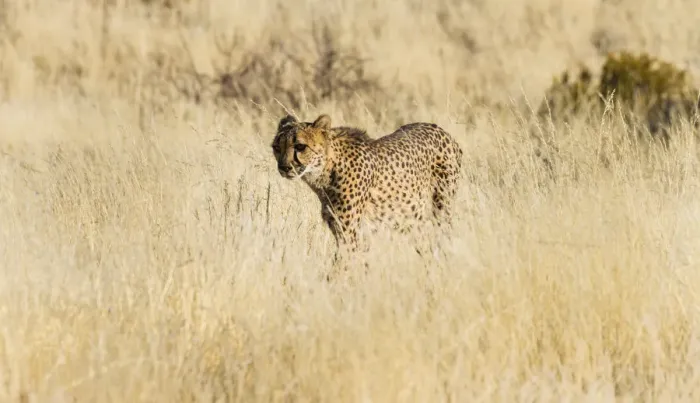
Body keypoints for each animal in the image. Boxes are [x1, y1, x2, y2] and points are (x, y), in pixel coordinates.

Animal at [271, 113, 463, 259]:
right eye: (276, 148)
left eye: (300, 146)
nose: (284, 167)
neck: (326, 171)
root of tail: (439, 128)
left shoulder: (349, 234)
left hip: (441, 209)